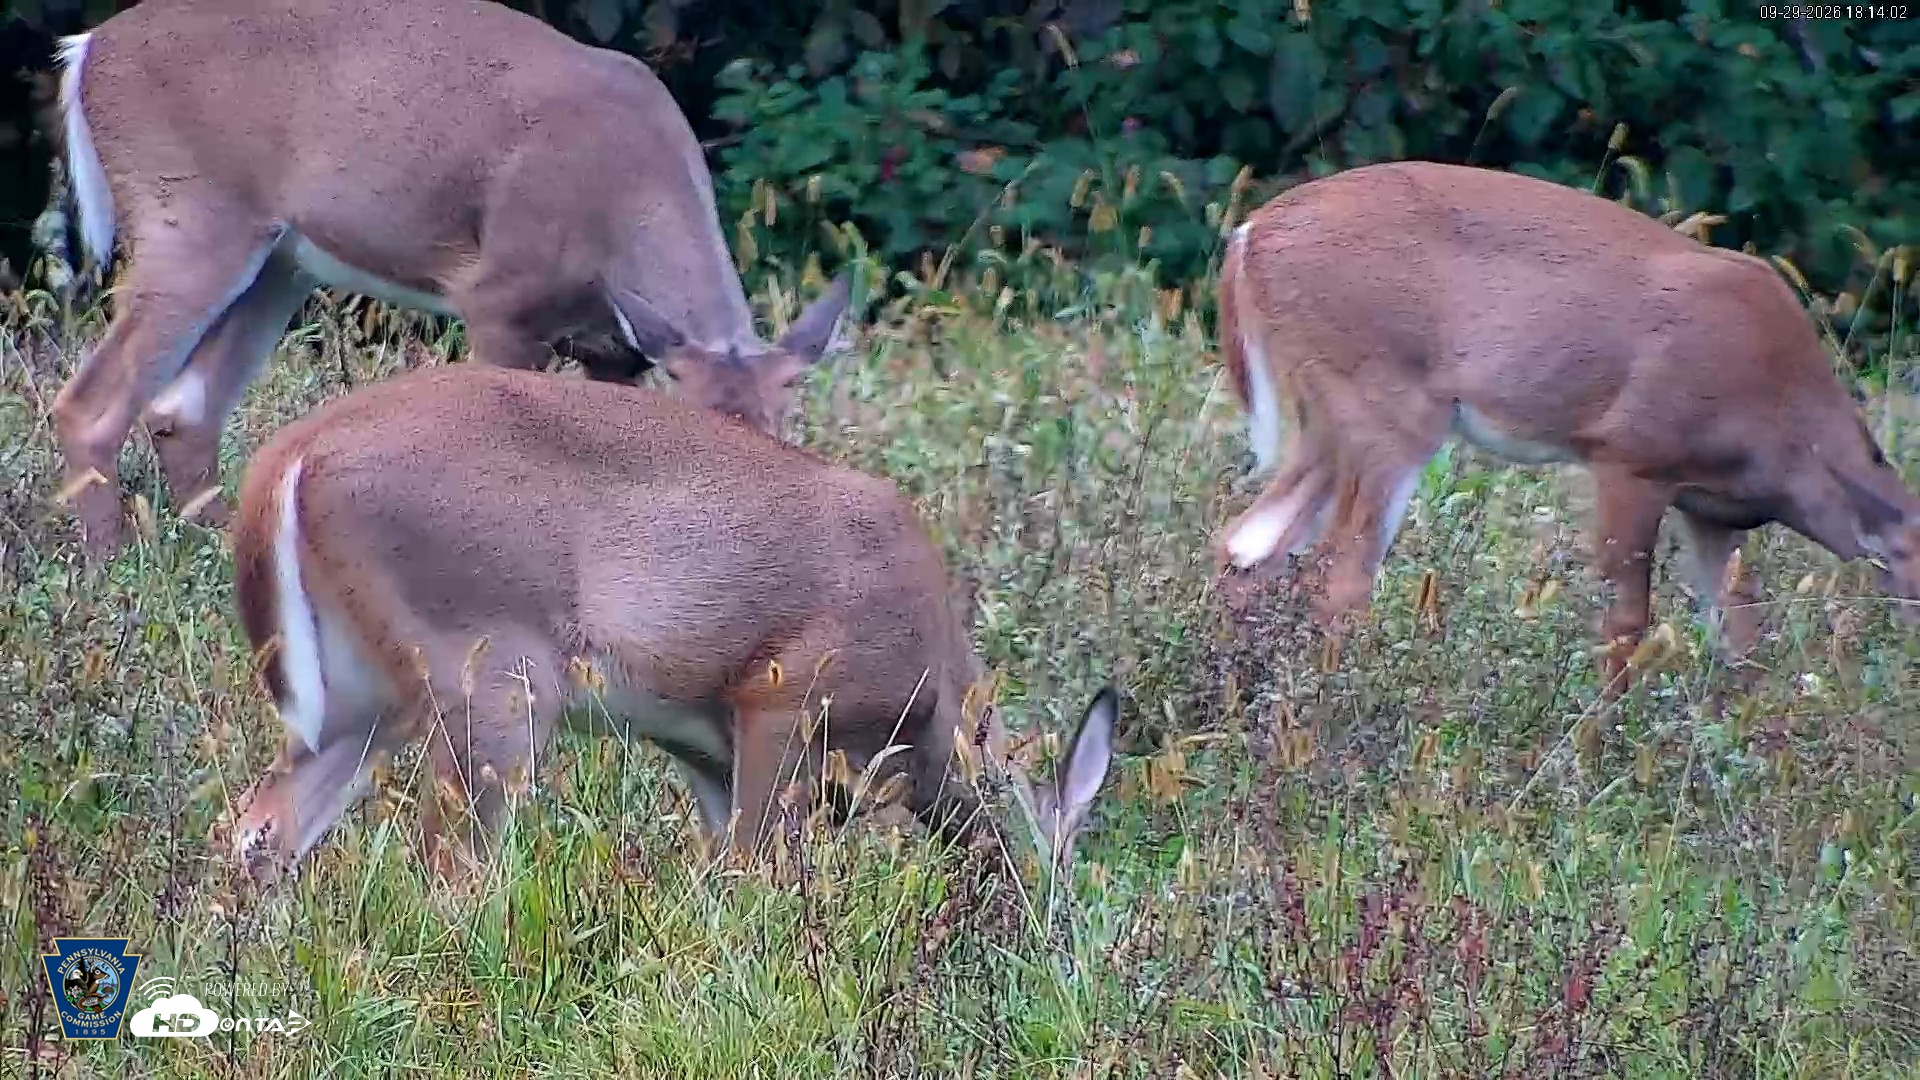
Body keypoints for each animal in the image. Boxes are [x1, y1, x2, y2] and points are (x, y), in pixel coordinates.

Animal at [49, 0, 852, 560]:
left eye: (784, 438)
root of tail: (87, 50)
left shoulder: (616, 352)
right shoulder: (497, 301)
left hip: (281, 260)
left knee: (182, 410)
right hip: (190, 214)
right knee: (91, 402)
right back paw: (111, 567)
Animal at [219, 360, 1117, 886]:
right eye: (1061, 861)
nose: (1046, 943)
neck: (931, 699)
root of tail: (290, 458)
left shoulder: (705, 749)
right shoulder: (782, 700)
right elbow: (757, 879)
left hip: (361, 697)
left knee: (261, 830)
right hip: (494, 673)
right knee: (452, 867)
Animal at [1214, 160, 1920, 692]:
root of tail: (1250, 233)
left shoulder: (1712, 513)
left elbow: (1737, 634)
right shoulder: (1629, 455)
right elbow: (1627, 623)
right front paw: (1601, 748)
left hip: (1328, 415)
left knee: (1246, 545)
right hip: (1384, 403)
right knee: (1340, 575)